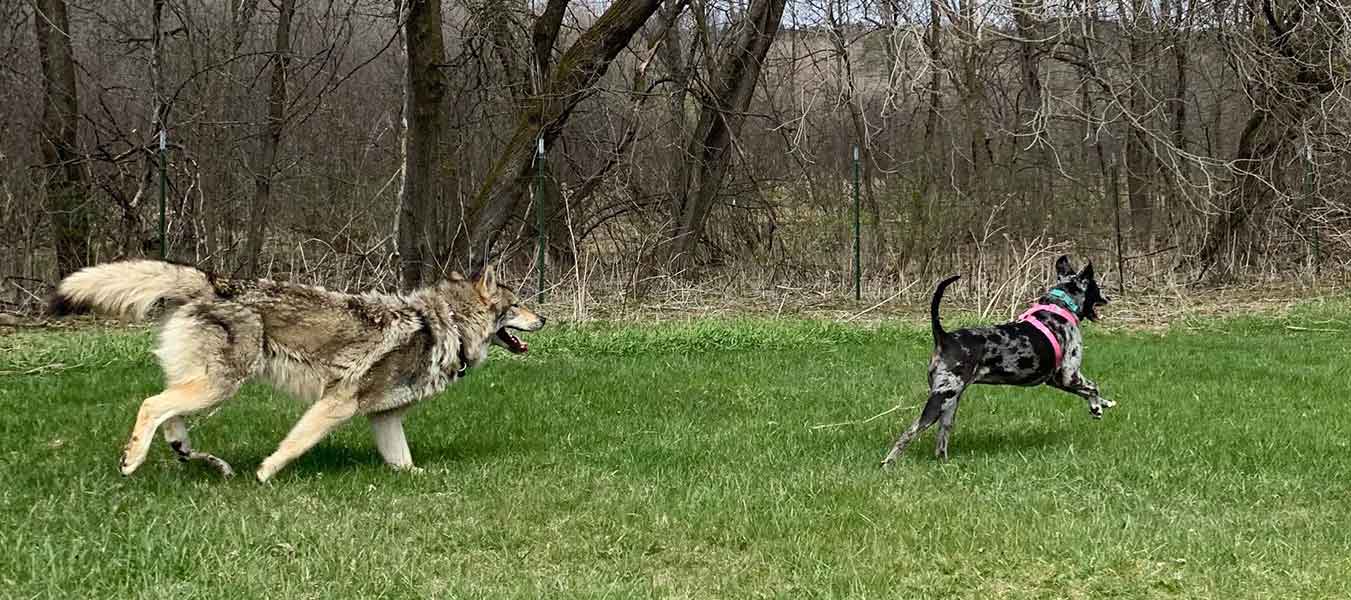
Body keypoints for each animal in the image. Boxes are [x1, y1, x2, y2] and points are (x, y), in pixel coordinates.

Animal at [48, 262, 543, 483]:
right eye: (517, 305)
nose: (544, 319)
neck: (446, 327)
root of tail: (213, 281)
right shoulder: (336, 404)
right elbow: (294, 444)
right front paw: (265, 475)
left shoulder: (383, 419)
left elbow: (404, 463)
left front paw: (422, 480)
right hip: (219, 388)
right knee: (152, 405)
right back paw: (133, 461)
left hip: (207, 386)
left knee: (171, 418)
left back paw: (196, 456)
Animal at [880, 255, 1113, 467]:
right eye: (1096, 287)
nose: (1109, 298)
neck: (1060, 306)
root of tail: (944, 337)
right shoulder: (1067, 375)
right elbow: (1093, 387)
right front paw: (1097, 407)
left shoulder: (1057, 380)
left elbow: (1089, 391)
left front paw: (1104, 403)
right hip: (940, 399)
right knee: (910, 432)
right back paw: (888, 462)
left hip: (950, 403)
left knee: (941, 440)